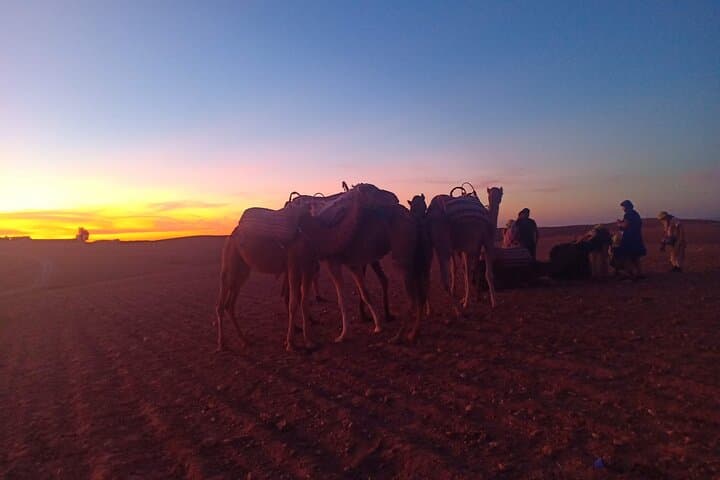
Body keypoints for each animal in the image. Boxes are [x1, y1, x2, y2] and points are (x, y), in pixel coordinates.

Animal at [285, 185, 432, 350]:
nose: (393, 197)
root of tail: (414, 220)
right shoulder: (351, 264)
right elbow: (364, 293)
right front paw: (377, 326)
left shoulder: (332, 261)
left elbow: (342, 299)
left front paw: (342, 336)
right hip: (416, 260)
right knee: (420, 295)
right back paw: (413, 334)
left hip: (403, 259)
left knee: (413, 298)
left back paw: (397, 337)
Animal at [427, 186, 503, 316]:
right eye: (492, 194)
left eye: (499, 194)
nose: (497, 200)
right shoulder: (485, 242)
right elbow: (484, 273)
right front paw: (492, 302)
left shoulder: (469, 248)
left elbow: (469, 271)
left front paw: (472, 298)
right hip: (444, 242)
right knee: (444, 278)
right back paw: (457, 311)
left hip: (433, 243)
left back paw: (429, 310)